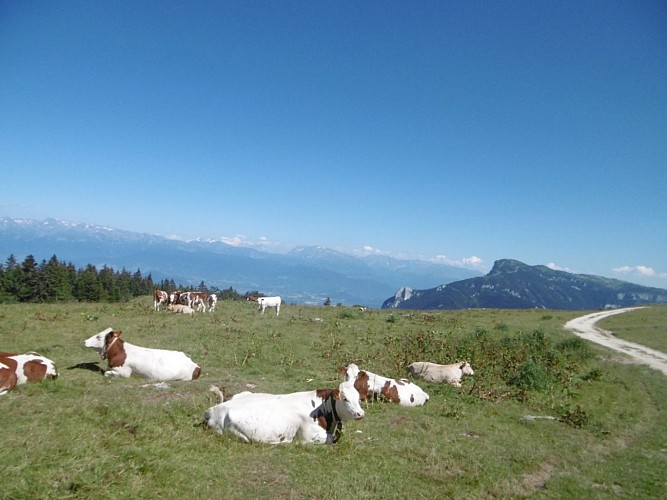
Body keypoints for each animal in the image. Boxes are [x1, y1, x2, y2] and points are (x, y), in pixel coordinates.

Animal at [203, 377, 367, 445]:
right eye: (345, 398)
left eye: (358, 398)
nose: (361, 414)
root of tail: (214, 409)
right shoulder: (309, 436)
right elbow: (330, 439)